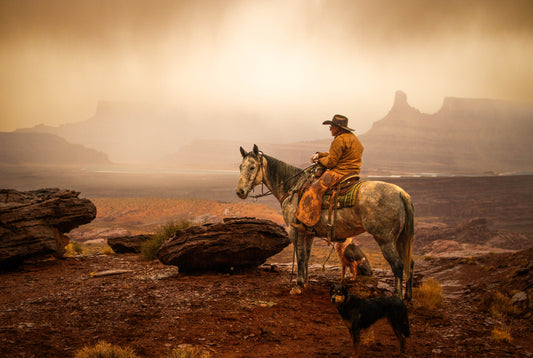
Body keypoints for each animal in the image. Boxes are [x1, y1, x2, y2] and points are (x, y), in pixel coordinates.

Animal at [235, 145, 414, 300]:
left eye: (252, 167)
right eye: (240, 166)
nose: (240, 191)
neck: (293, 188)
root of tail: (401, 193)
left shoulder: (295, 231)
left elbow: (300, 257)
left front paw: (297, 286)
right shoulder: (308, 233)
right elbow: (306, 257)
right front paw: (305, 282)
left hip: (385, 240)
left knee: (398, 265)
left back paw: (398, 298)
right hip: (399, 238)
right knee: (409, 262)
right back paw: (408, 296)